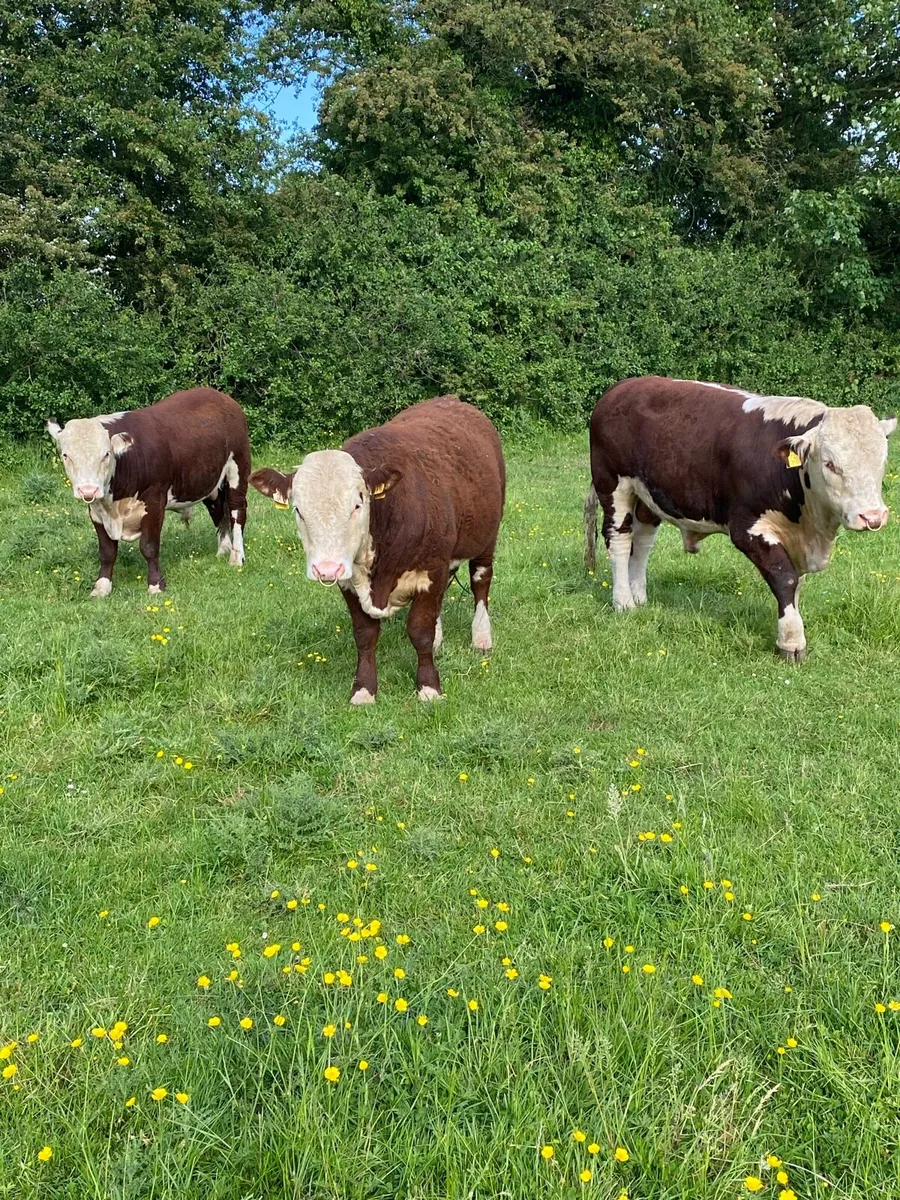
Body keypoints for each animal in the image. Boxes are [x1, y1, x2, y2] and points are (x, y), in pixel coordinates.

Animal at [47, 388, 251, 596]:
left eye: (106, 454)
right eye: (66, 455)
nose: (88, 489)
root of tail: (219, 395)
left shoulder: (154, 503)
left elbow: (149, 547)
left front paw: (156, 585)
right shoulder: (97, 510)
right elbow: (106, 551)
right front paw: (102, 587)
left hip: (238, 467)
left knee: (237, 512)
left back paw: (236, 557)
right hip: (210, 481)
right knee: (217, 510)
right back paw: (223, 549)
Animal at [250, 396, 505, 703]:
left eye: (357, 505)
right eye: (298, 510)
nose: (326, 568)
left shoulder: (432, 568)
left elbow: (419, 630)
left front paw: (429, 687)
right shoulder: (349, 582)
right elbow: (365, 634)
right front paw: (364, 690)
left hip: (486, 538)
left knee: (481, 582)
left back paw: (482, 637)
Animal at [584, 376, 896, 660]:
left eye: (882, 460)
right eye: (830, 464)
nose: (873, 516)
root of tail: (623, 386)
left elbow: (797, 584)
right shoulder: (747, 528)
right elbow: (785, 578)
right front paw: (791, 641)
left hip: (649, 494)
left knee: (642, 542)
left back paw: (639, 596)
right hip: (613, 484)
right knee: (619, 540)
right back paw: (623, 601)